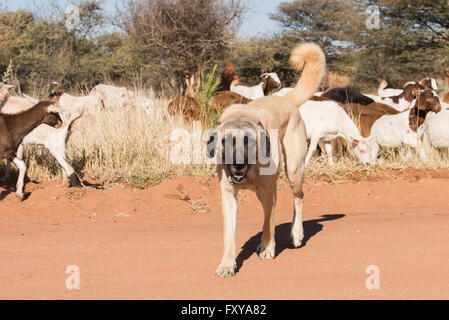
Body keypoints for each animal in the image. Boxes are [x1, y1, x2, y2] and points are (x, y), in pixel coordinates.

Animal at [206, 42, 326, 278]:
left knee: (298, 198)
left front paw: (269, 249)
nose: (238, 164)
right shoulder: (228, 195)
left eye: (248, 141)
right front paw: (227, 264)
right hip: (264, 191)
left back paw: (296, 233)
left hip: (294, 171)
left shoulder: (270, 190)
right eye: (225, 141)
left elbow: (269, 224)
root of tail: (284, 98)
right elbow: (230, 236)